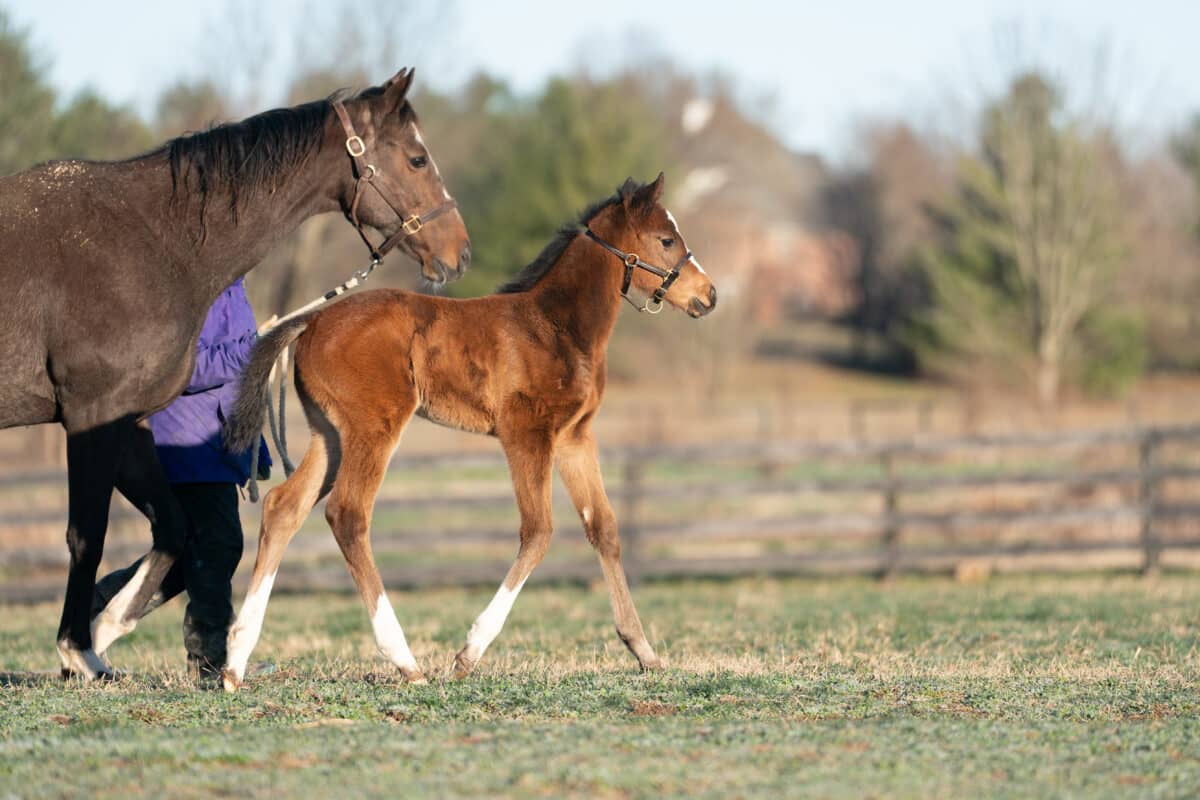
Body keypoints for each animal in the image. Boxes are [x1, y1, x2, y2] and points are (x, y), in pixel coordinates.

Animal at [0, 68, 468, 681]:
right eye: (416, 158)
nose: (459, 251)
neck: (152, 240)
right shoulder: (90, 416)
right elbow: (86, 536)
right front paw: (77, 648)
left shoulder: (127, 419)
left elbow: (175, 530)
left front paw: (109, 625)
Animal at [222, 175, 715, 690]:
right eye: (666, 240)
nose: (710, 294)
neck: (554, 326)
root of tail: (311, 320)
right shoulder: (526, 433)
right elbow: (539, 529)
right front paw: (469, 653)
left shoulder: (574, 436)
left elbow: (603, 527)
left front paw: (644, 650)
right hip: (374, 427)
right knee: (348, 514)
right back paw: (405, 661)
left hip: (331, 435)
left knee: (284, 507)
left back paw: (236, 660)